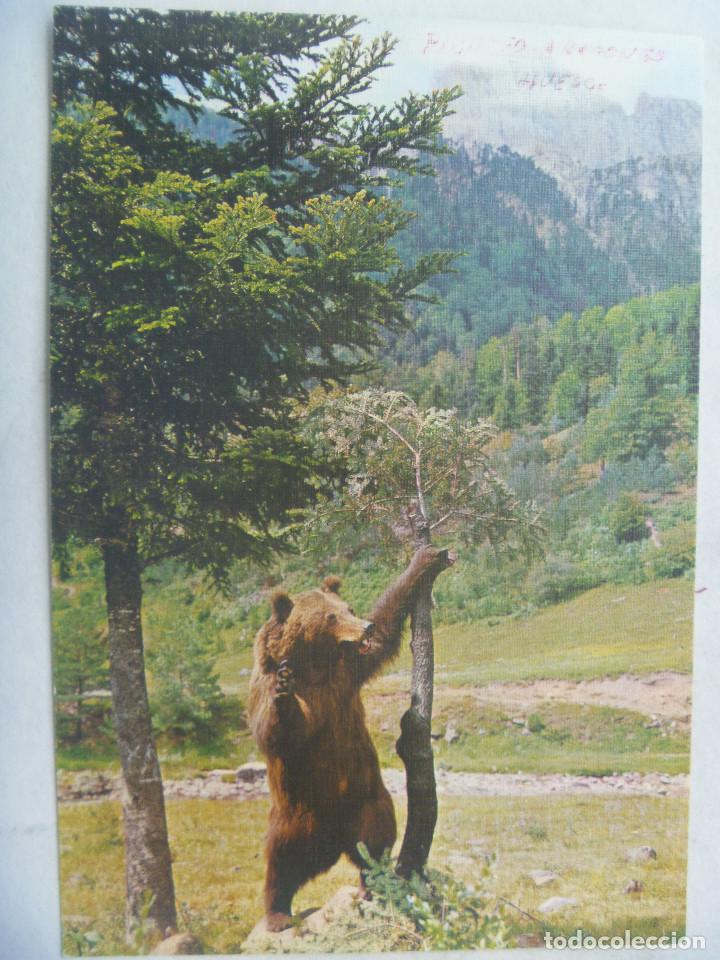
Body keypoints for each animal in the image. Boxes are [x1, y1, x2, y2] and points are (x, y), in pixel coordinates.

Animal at [247, 544, 454, 932]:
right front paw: (284, 695)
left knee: (374, 842)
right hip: (295, 815)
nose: (363, 626)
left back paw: (370, 883)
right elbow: (272, 731)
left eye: (350, 609)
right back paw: (278, 913)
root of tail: (331, 842)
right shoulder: (270, 686)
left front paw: (426, 560)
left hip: (365, 802)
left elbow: (386, 629)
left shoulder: (346, 673)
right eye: (329, 616)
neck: (316, 667)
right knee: (281, 862)